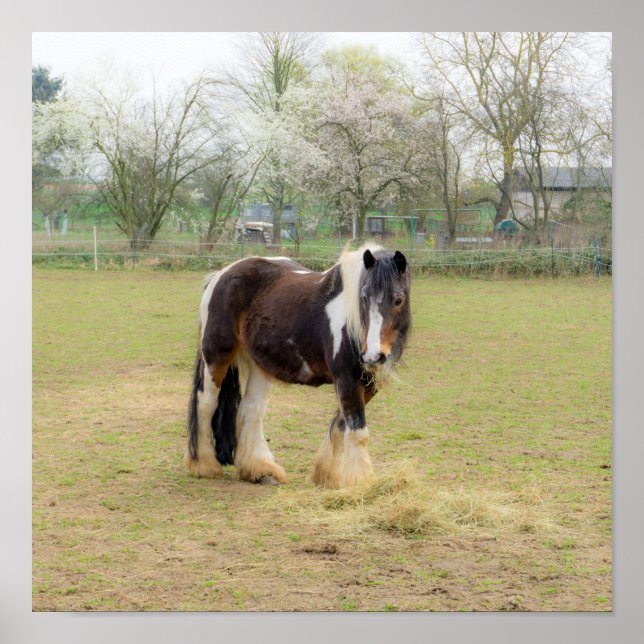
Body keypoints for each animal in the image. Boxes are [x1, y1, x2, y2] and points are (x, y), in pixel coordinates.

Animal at [183, 244, 411, 488]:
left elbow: (340, 425)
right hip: (216, 357)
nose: (373, 356)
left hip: (260, 365)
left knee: (251, 409)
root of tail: (219, 275)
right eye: (364, 298)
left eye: (398, 300)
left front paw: (327, 475)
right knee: (206, 403)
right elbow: (358, 432)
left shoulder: (367, 384)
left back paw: (261, 470)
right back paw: (203, 465)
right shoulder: (347, 379)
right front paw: (361, 483)